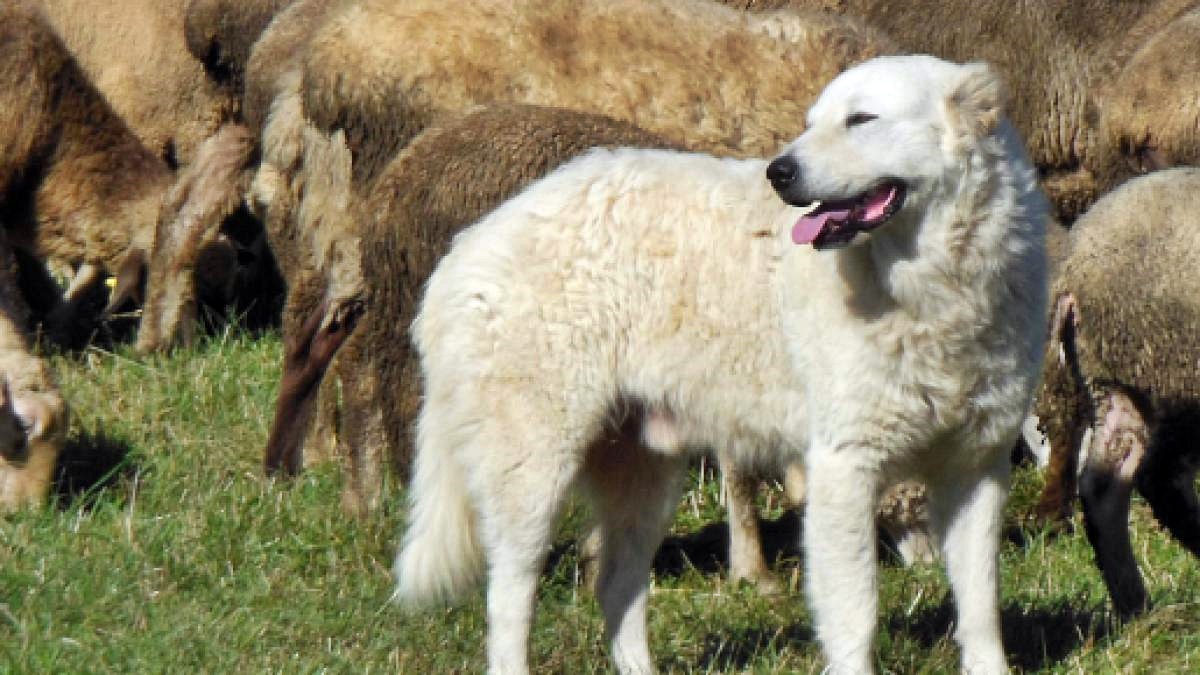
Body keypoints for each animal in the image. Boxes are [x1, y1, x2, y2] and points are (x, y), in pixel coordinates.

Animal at [396, 53, 1051, 672]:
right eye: (811, 123)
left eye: (861, 120)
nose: (779, 172)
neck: (932, 289)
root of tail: (465, 249)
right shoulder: (845, 467)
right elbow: (856, 612)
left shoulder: (977, 466)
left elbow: (981, 606)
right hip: (532, 470)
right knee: (509, 598)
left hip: (645, 474)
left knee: (617, 586)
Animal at [1032, 165, 1200, 619]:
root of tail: (1074, 269)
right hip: (1174, 376)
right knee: (1160, 478)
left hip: (1116, 379)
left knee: (1103, 485)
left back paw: (1134, 605)